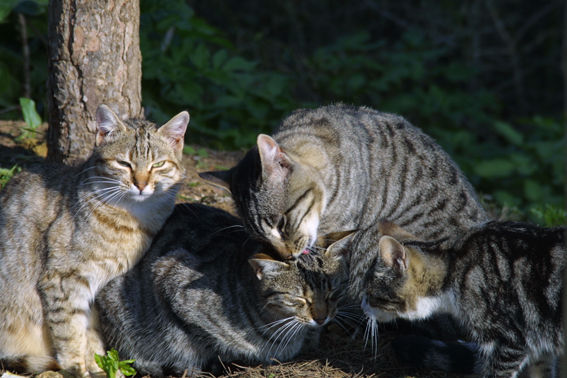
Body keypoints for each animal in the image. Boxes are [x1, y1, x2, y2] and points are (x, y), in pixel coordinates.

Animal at [0, 104, 191, 376]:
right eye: (124, 163)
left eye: (159, 164)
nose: (141, 184)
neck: (132, 220)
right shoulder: (63, 280)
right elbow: (69, 330)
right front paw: (78, 366)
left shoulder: (97, 286)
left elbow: (90, 332)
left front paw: (99, 365)